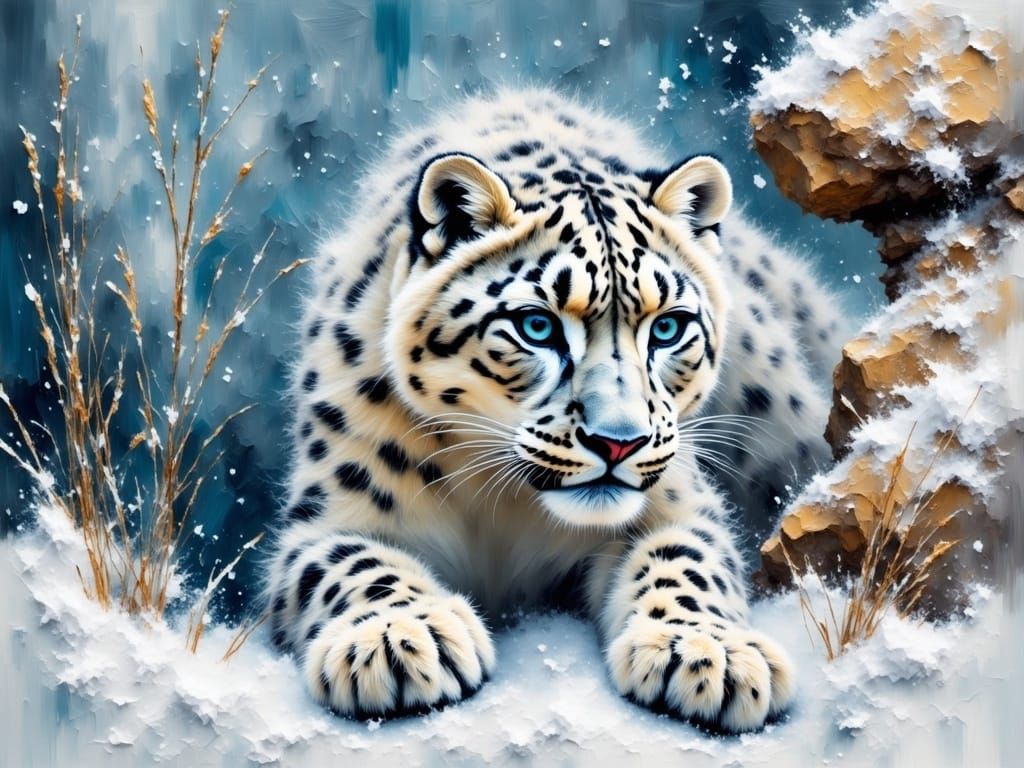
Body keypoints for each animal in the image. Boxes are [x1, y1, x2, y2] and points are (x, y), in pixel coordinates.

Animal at [265, 89, 845, 733]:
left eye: (668, 327)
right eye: (537, 326)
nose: (618, 442)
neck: (501, 507)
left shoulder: (674, 500)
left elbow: (686, 557)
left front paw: (706, 651)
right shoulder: (328, 516)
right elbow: (352, 563)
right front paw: (402, 637)